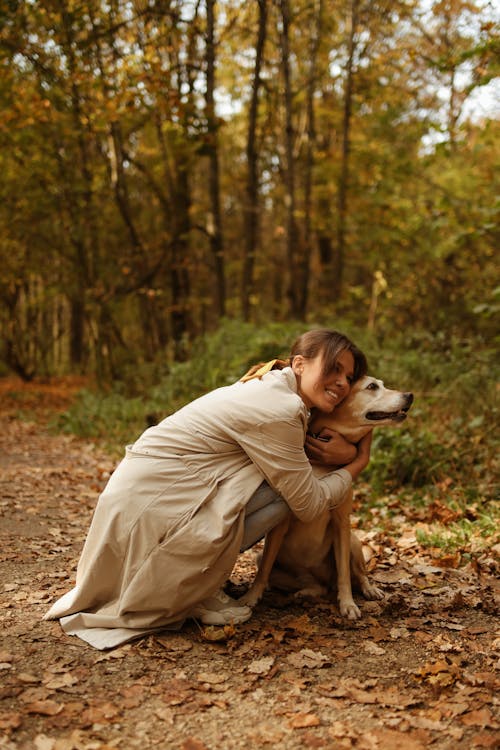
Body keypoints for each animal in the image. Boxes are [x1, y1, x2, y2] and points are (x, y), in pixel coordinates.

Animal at [240, 378, 412, 620]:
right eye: (372, 386)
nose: (410, 395)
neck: (322, 465)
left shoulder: (341, 523)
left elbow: (344, 574)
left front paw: (348, 604)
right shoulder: (278, 527)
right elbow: (263, 571)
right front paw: (250, 598)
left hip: (353, 542)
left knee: (358, 575)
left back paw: (369, 590)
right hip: (270, 561)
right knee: (314, 586)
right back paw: (305, 592)